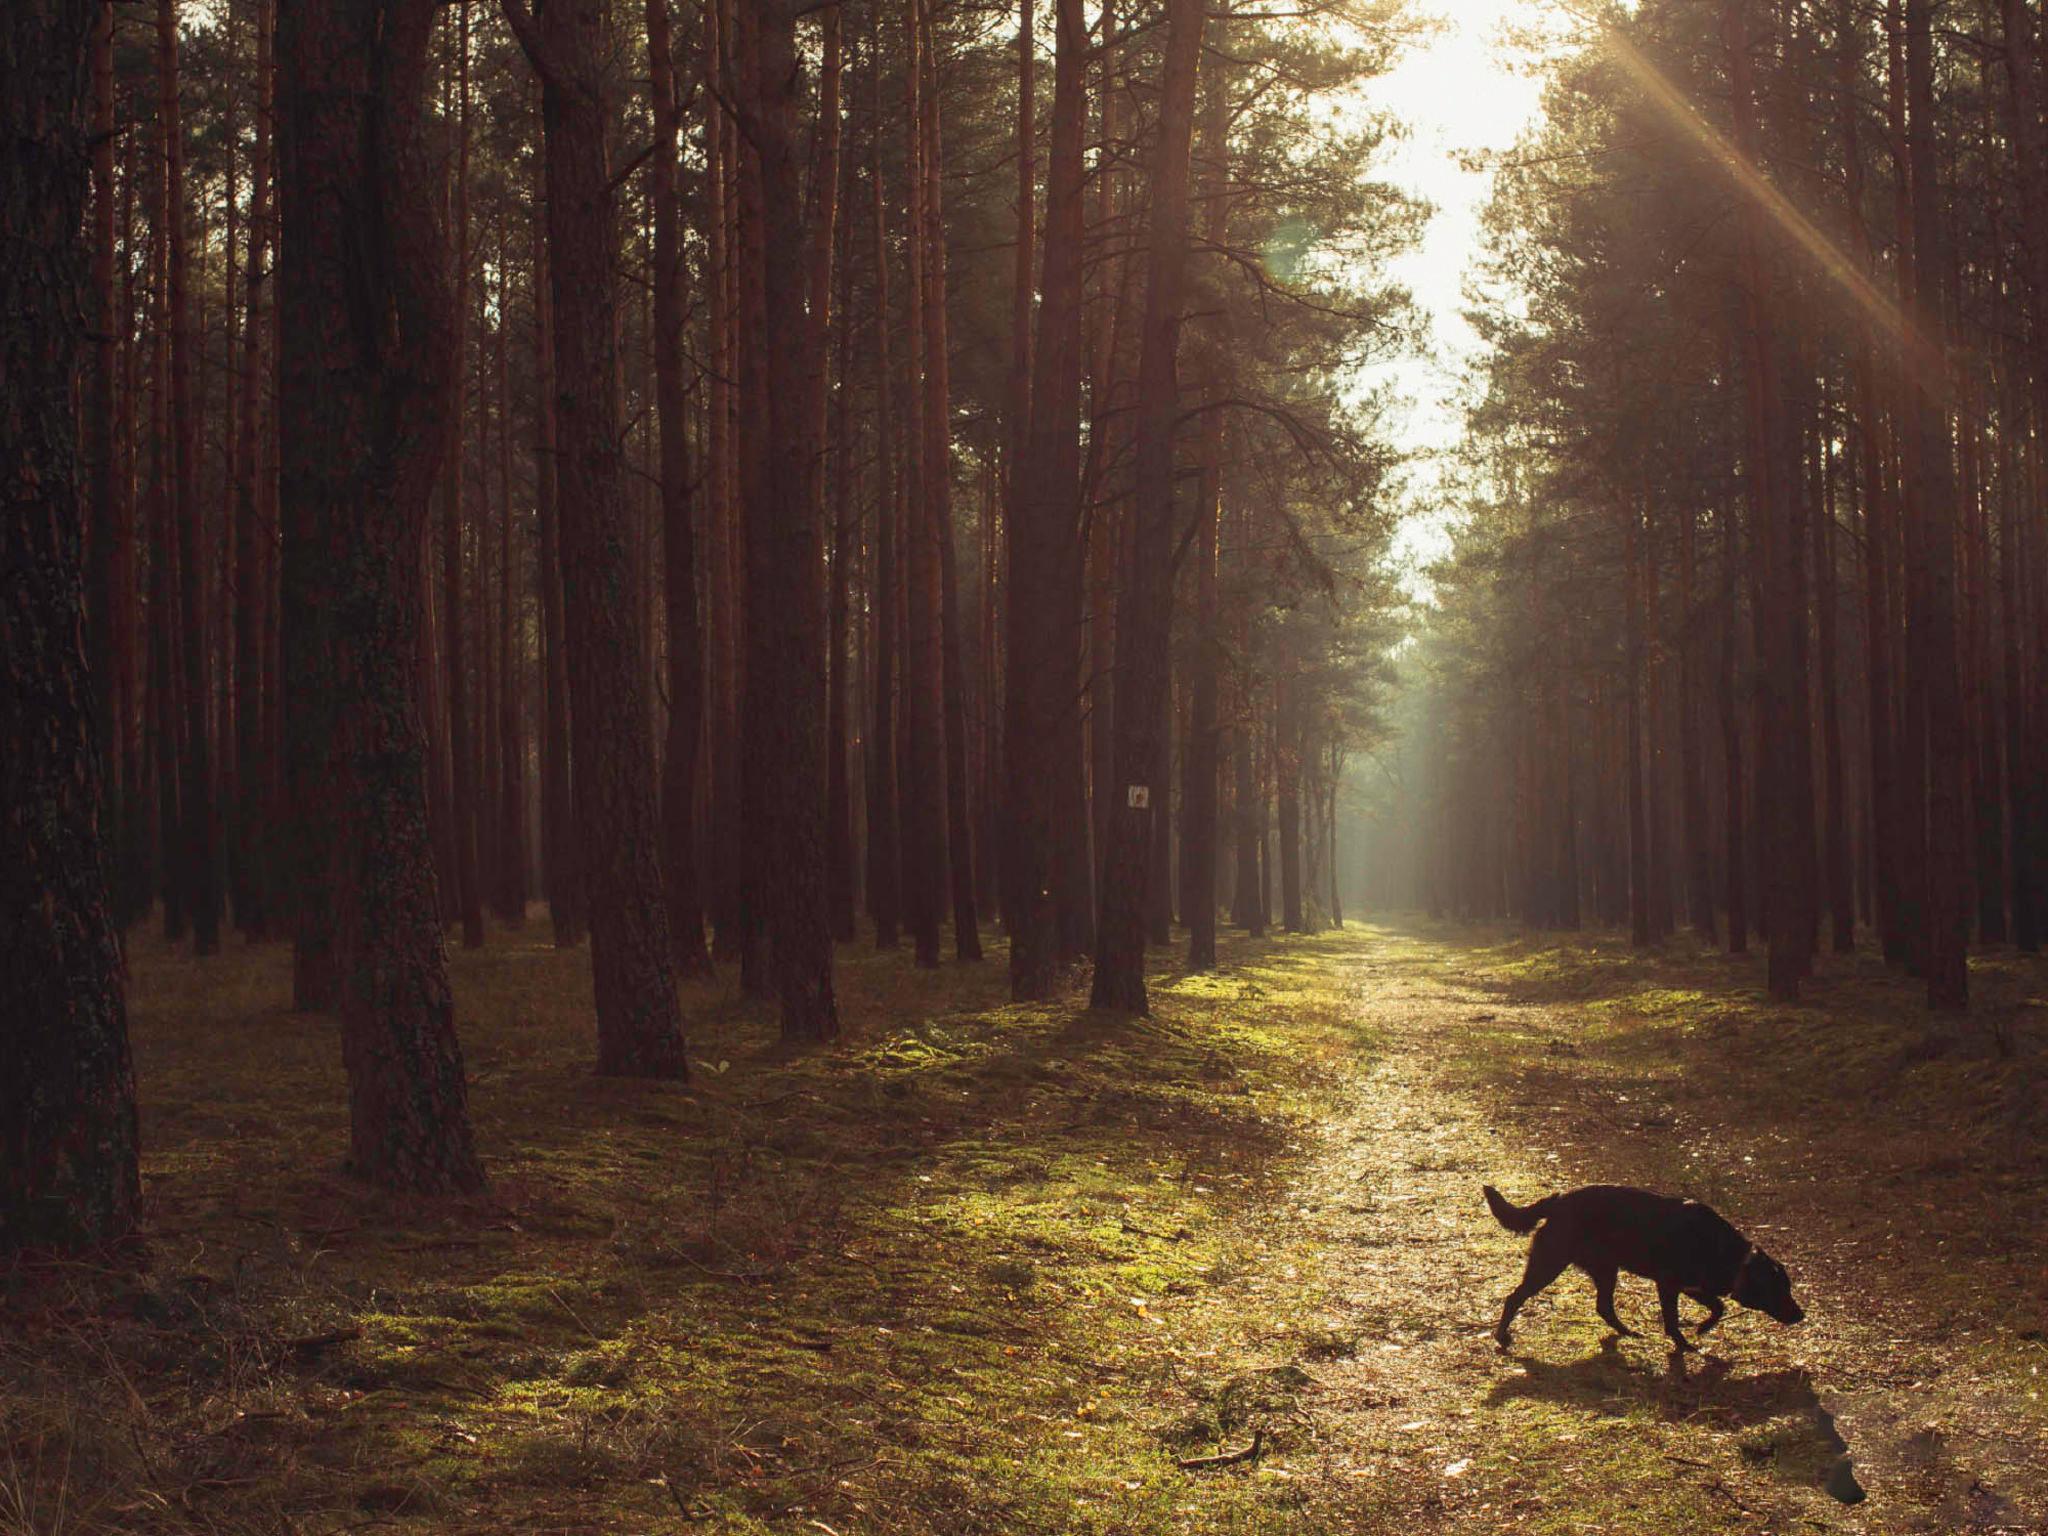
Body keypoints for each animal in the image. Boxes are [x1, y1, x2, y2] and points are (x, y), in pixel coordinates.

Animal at [1482, 1187, 1802, 1351]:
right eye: (1780, 1290)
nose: (1801, 1315)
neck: (1728, 1252)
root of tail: (1557, 1200)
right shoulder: (1669, 1285)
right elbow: (1673, 1320)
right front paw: (1684, 1344)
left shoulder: (1692, 1287)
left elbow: (1718, 1307)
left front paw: (1702, 1327)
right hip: (1549, 1264)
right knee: (1514, 1297)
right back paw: (1501, 1335)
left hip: (1606, 1270)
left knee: (1603, 1307)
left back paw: (1627, 1332)